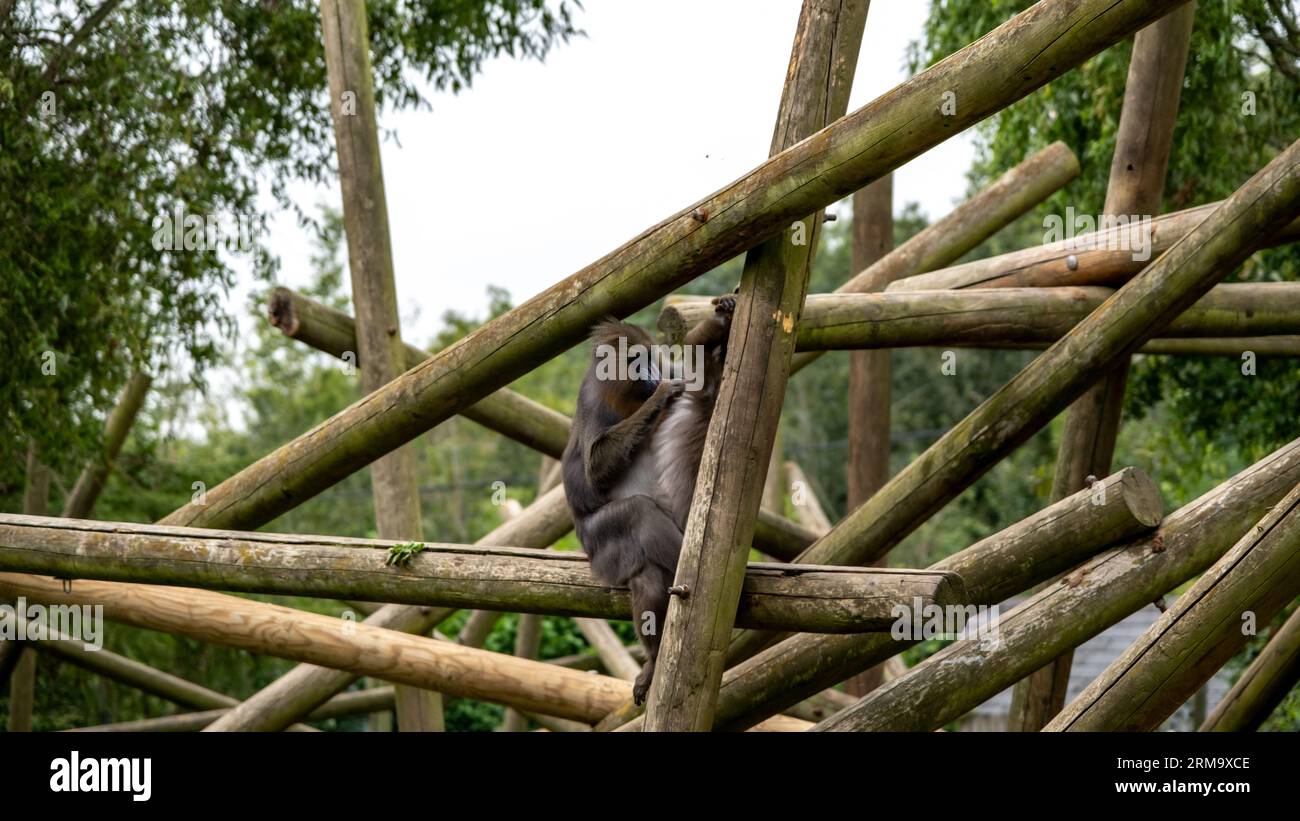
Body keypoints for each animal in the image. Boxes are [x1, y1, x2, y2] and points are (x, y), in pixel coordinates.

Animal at [564, 292, 738, 701]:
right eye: (634, 360)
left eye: (648, 357)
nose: (651, 375)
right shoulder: (593, 402)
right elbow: (594, 470)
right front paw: (660, 395)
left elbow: (695, 375)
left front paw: (719, 320)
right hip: (599, 543)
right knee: (638, 520)